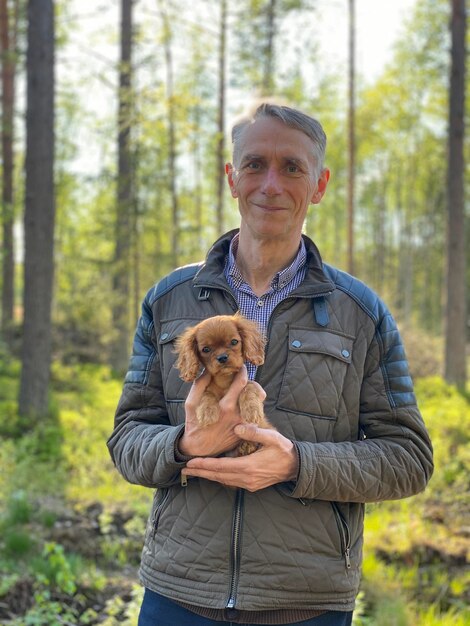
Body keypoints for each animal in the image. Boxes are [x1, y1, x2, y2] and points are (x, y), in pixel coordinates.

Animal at [174, 312, 274, 454]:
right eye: (206, 349)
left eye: (234, 342)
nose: (222, 357)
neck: (224, 379)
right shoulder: (205, 388)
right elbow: (207, 394)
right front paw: (207, 412)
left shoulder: (248, 383)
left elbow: (248, 387)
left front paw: (252, 409)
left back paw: (247, 444)